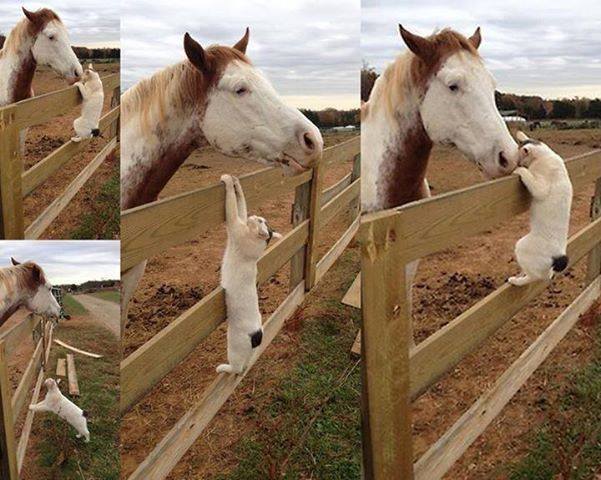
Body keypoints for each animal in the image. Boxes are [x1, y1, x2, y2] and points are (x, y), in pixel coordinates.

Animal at [216, 173, 282, 376]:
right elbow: (241, 204)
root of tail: (258, 335)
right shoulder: (240, 221)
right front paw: (236, 182)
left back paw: (223, 368)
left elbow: (232, 205)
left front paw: (228, 180)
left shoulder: (234, 225)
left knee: (237, 369)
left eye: (260, 221)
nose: (255, 216)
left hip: (233, 345)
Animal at [508, 131, 576, 286]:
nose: (518, 163)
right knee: (546, 275)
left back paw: (516, 281)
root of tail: (559, 255)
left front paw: (519, 170)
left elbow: (528, 175)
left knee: (535, 277)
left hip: (521, 246)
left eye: (519, 157)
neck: (545, 155)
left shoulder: (541, 187)